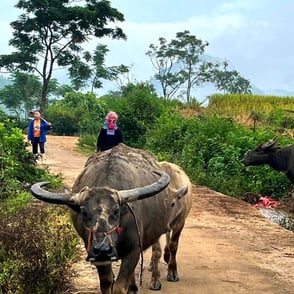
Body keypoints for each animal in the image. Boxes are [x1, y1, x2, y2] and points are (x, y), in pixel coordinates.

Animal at [29, 144, 191, 292]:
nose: (103, 249)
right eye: (84, 212)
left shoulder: (135, 249)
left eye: (116, 210)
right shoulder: (96, 256)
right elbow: (107, 282)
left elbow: (120, 285)